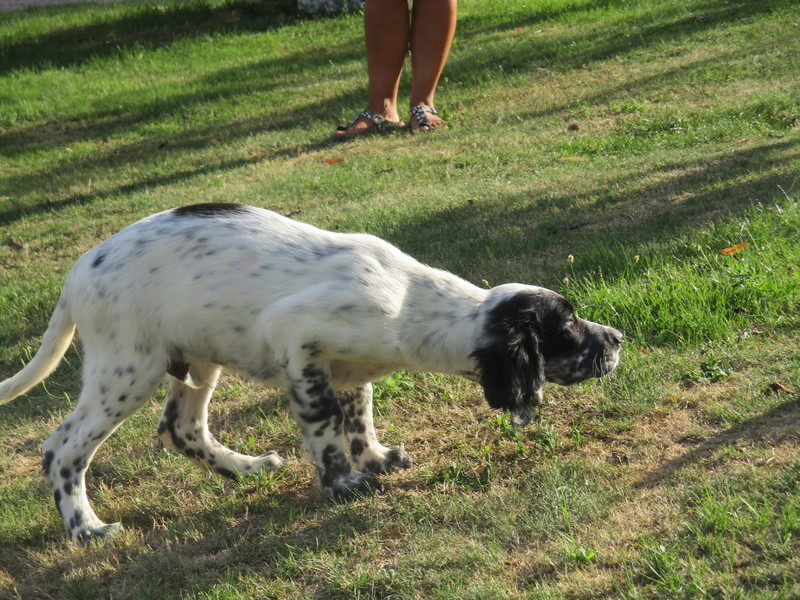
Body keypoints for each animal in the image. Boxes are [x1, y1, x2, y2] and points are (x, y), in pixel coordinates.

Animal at [0, 204, 620, 540]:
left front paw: (376, 458)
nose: (616, 339)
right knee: (63, 448)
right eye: (568, 326)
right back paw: (86, 528)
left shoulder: (347, 368)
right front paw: (342, 482)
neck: (412, 303)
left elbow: (359, 417)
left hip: (195, 361)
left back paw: (247, 468)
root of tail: (79, 270)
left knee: (182, 428)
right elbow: (325, 428)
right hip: (128, 367)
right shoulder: (298, 343)